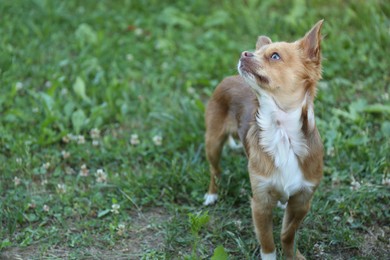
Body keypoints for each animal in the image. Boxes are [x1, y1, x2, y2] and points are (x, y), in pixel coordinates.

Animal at [203, 20, 324, 260]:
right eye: (256, 51)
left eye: (275, 56)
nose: (244, 53)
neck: (281, 131)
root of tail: (230, 78)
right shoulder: (260, 203)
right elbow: (267, 241)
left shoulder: (302, 201)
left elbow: (287, 234)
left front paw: (292, 255)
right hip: (212, 143)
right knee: (215, 170)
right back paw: (212, 194)